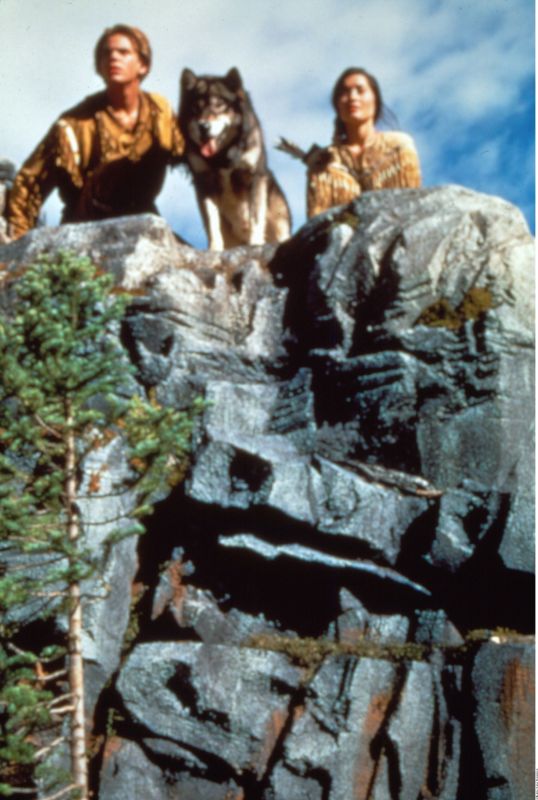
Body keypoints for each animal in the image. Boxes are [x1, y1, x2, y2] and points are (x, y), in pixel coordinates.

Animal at [179, 67, 291, 250]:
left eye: (218, 105)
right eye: (196, 107)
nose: (203, 127)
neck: (222, 156)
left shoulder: (253, 177)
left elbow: (255, 218)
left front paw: (255, 244)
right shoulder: (204, 183)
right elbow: (212, 222)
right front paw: (214, 249)